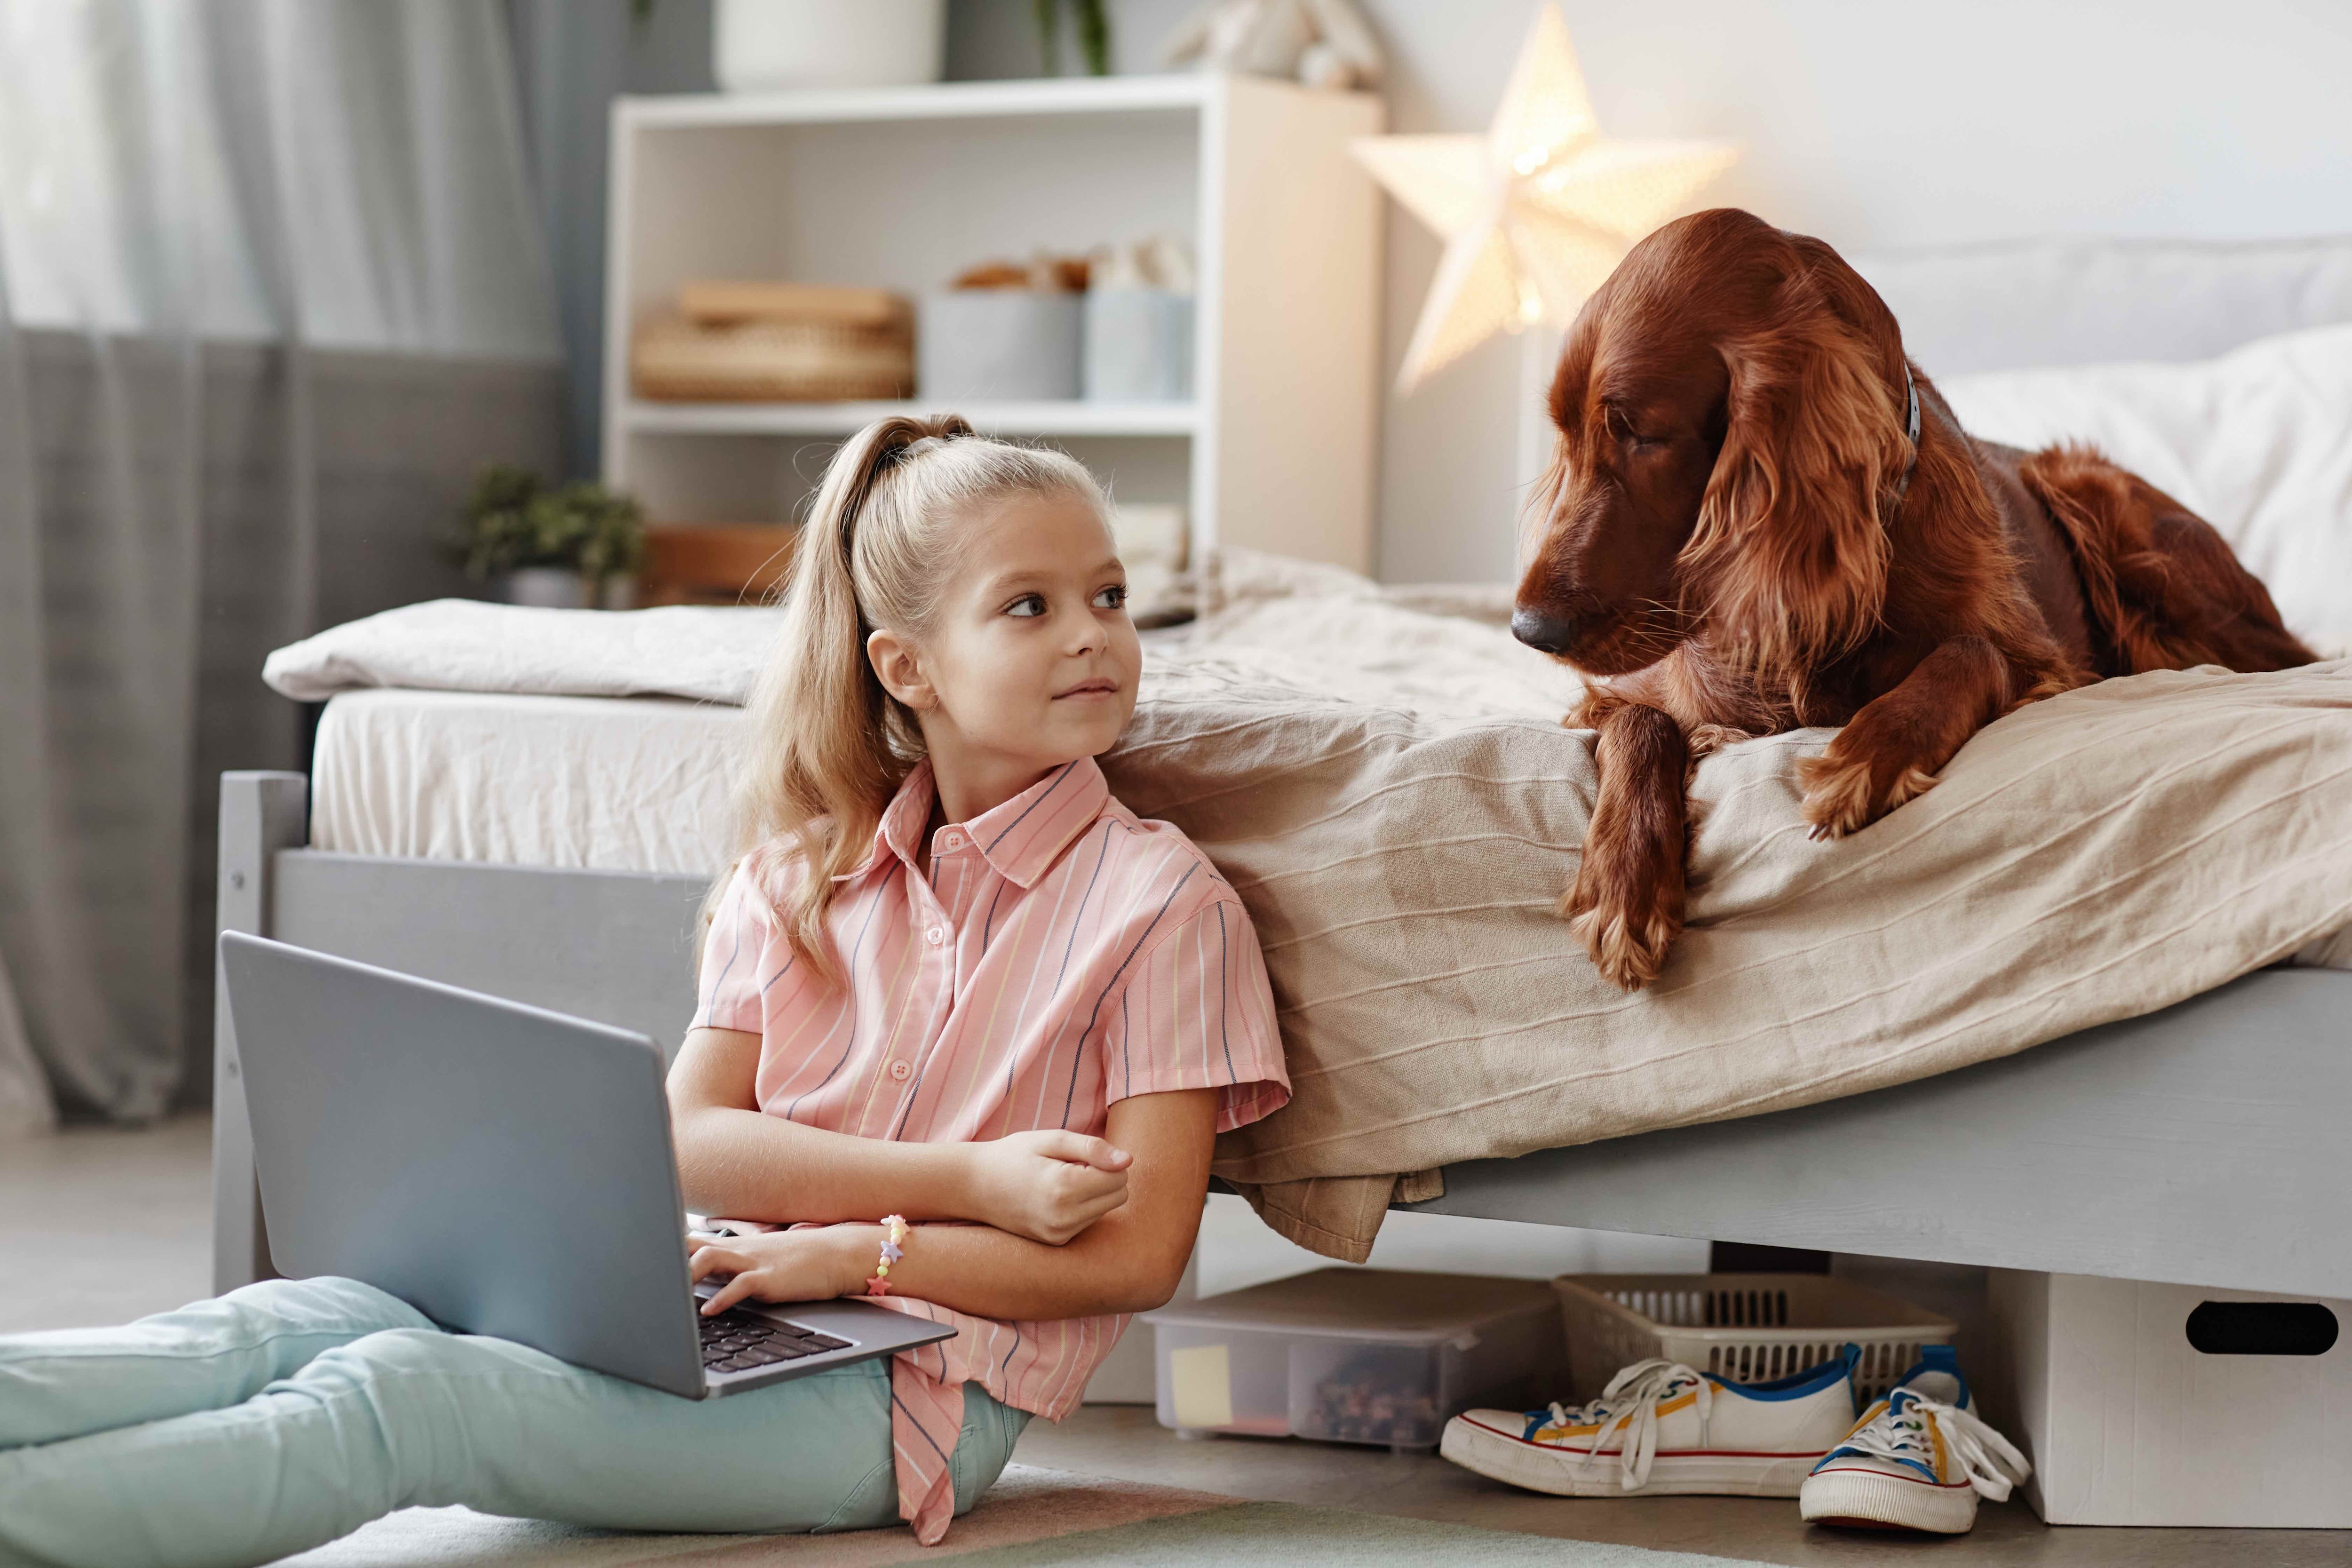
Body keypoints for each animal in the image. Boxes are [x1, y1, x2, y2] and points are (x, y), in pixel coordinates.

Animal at [1515, 210, 2305, 992]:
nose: (1529, 629)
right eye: (1567, 435)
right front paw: (1623, 879)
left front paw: (1871, 751)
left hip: (2103, 506)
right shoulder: (1621, 692)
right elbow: (1640, 721)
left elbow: (1971, 650)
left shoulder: (2048, 664)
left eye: (1642, 435)